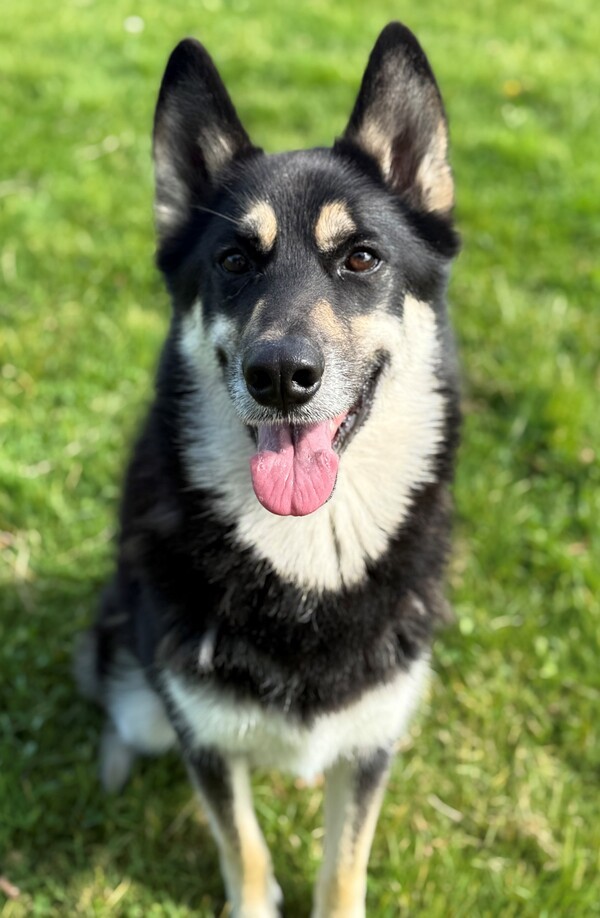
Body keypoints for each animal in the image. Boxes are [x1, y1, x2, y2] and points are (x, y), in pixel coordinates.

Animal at [75, 21, 460, 918]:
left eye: (362, 258)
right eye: (233, 261)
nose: (281, 376)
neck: (307, 559)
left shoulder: (372, 742)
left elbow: (344, 866)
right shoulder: (203, 735)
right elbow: (243, 846)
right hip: (145, 689)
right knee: (119, 703)